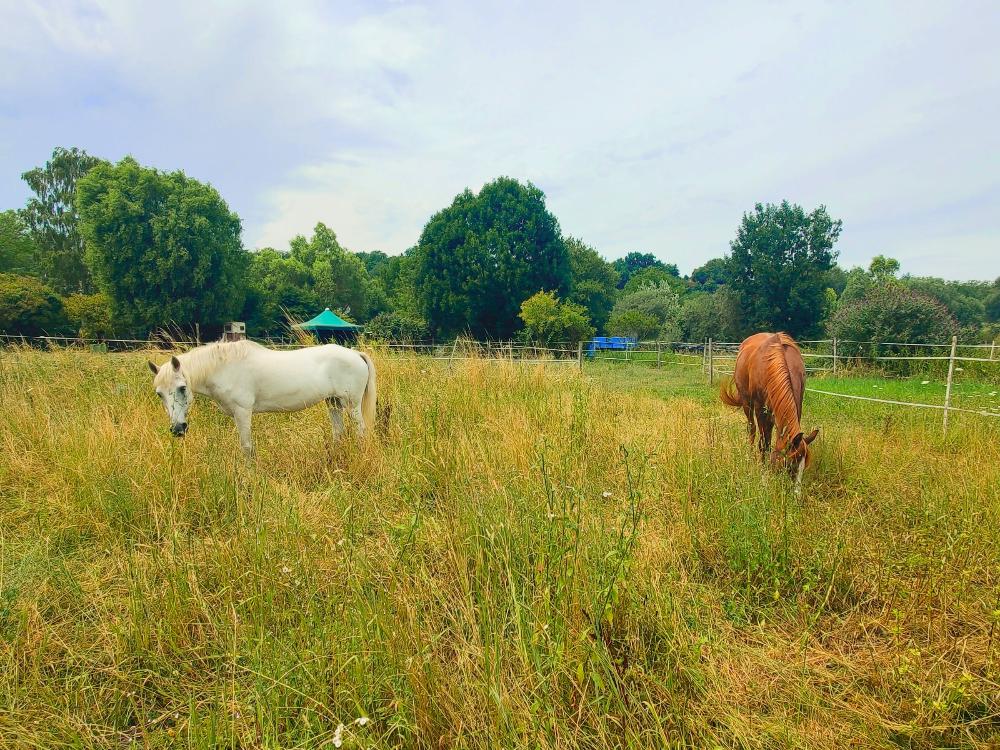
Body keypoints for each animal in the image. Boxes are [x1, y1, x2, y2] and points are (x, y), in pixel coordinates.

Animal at [147, 340, 376, 457]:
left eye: (182, 388)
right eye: (159, 394)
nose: (178, 429)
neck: (224, 367)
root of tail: (356, 354)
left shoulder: (242, 412)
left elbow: (247, 447)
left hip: (351, 405)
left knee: (361, 432)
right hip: (333, 403)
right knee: (339, 433)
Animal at [720, 332, 818, 492]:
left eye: (804, 466)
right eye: (789, 464)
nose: (796, 494)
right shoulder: (760, 409)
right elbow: (763, 443)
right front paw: (763, 475)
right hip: (748, 404)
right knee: (752, 429)